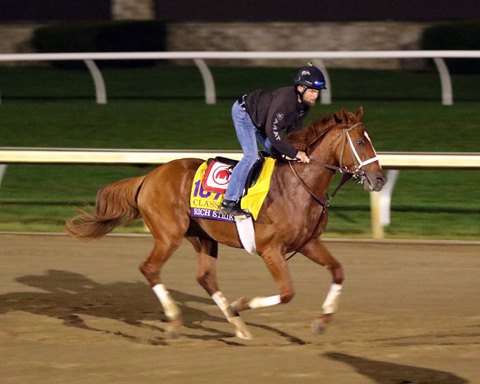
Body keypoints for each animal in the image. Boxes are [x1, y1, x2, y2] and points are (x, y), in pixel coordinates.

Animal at [65, 105, 386, 340]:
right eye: (360, 141)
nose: (380, 179)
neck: (298, 186)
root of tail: (149, 177)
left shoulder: (308, 243)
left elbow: (338, 271)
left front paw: (323, 321)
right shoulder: (270, 250)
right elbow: (286, 293)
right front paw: (241, 304)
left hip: (203, 237)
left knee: (205, 277)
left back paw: (239, 327)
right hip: (169, 234)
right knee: (150, 268)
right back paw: (175, 320)